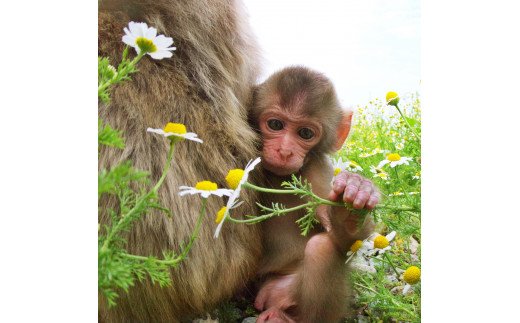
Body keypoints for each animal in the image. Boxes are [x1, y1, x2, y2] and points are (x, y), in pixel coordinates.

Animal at [248, 66, 378, 323]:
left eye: (305, 133)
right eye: (275, 125)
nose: (284, 151)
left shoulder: (316, 171)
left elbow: (345, 242)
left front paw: (351, 204)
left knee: (322, 249)